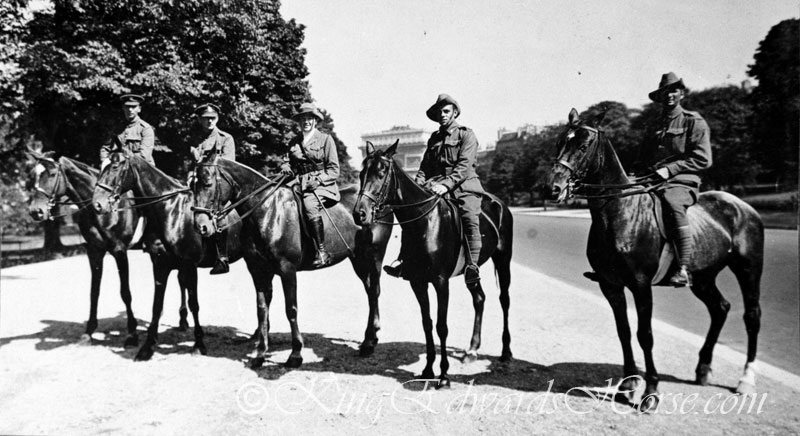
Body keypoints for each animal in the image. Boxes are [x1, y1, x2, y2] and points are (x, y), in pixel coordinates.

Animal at [26, 152, 186, 346]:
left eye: (51, 174)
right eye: (32, 175)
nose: (35, 211)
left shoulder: (119, 251)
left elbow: (125, 292)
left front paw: (132, 333)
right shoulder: (94, 252)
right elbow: (94, 291)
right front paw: (89, 331)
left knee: (182, 279)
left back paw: (183, 321)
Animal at [91, 150, 244, 362]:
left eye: (114, 167)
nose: (97, 204)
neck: (170, 210)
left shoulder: (189, 265)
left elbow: (194, 304)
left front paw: (199, 344)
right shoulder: (160, 264)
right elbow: (157, 305)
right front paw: (146, 348)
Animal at [194, 149, 394, 368]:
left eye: (207, 182)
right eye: (192, 185)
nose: (201, 226)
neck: (267, 211)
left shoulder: (287, 270)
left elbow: (291, 309)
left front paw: (295, 354)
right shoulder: (258, 271)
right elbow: (261, 310)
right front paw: (260, 353)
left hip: (374, 256)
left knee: (374, 291)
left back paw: (369, 343)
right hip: (358, 259)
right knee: (370, 291)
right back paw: (371, 337)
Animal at [354, 141, 516, 388]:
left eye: (381, 173)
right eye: (361, 174)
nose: (359, 213)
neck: (424, 222)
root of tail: (499, 203)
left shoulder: (441, 282)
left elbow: (441, 326)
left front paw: (444, 375)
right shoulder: (418, 282)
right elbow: (427, 323)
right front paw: (429, 369)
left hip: (503, 258)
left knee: (504, 300)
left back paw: (506, 352)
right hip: (471, 269)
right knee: (479, 298)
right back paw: (472, 349)